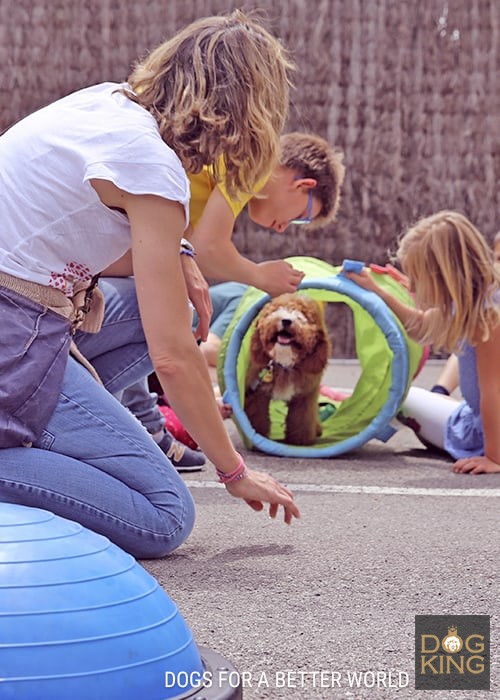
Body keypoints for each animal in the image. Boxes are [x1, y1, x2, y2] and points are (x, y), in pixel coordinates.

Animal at [244, 292, 330, 446]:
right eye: (277, 309)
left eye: (303, 315)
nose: (286, 321)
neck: (283, 364)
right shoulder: (257, 394)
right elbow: (257, 416)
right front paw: (258, 434)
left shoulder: (305, 395)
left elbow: (302, 418)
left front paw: (300, 440)